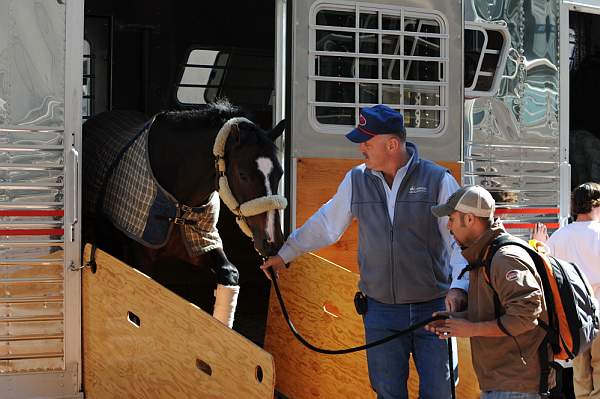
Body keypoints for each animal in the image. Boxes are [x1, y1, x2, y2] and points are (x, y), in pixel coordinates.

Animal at [81, 101, 286, 328]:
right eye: (243, 174)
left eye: (280, 172)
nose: (272, 241)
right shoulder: (142, 256)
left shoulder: (201, 242)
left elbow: (229, 273)